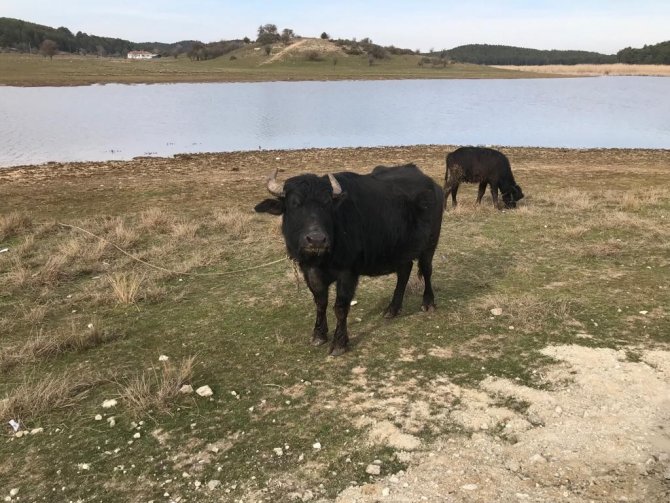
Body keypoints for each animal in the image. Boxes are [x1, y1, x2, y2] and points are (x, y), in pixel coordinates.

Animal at [258, 163, 446, 356]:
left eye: (327, 204)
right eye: (294, 204)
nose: (316, 240)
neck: (323, 259)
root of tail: (433, 186)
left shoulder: (347, 273)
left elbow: (340, 307)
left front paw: (339, 343)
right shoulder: (310, 271)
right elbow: (320, 302)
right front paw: (319, 334)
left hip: (430, 244)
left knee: (427, 270)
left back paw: (428, 303)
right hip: (400, 250)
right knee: (404, 271)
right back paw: (392, 309)